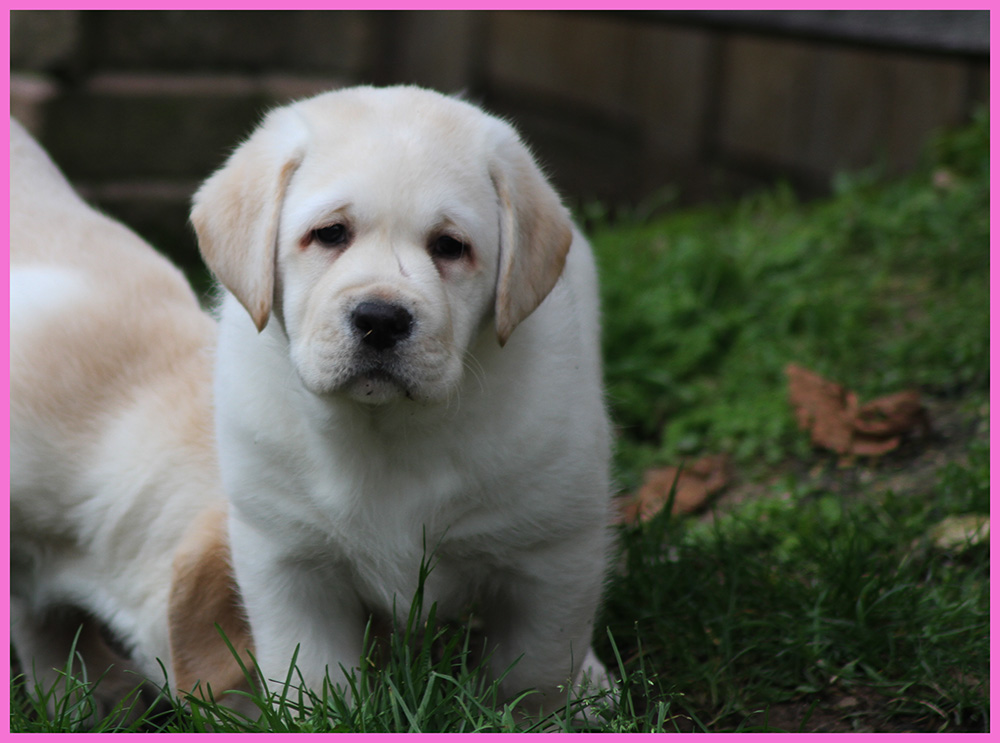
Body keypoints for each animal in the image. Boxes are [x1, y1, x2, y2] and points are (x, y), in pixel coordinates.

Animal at [191, 85, 615, 714]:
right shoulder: (286, 555)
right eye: (331, 234)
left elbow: (538, 667)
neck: (385, 428)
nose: (381, 319)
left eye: (449, 246)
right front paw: (320, 714)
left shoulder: (555, 552)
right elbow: (310, 671)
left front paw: (541, 713)